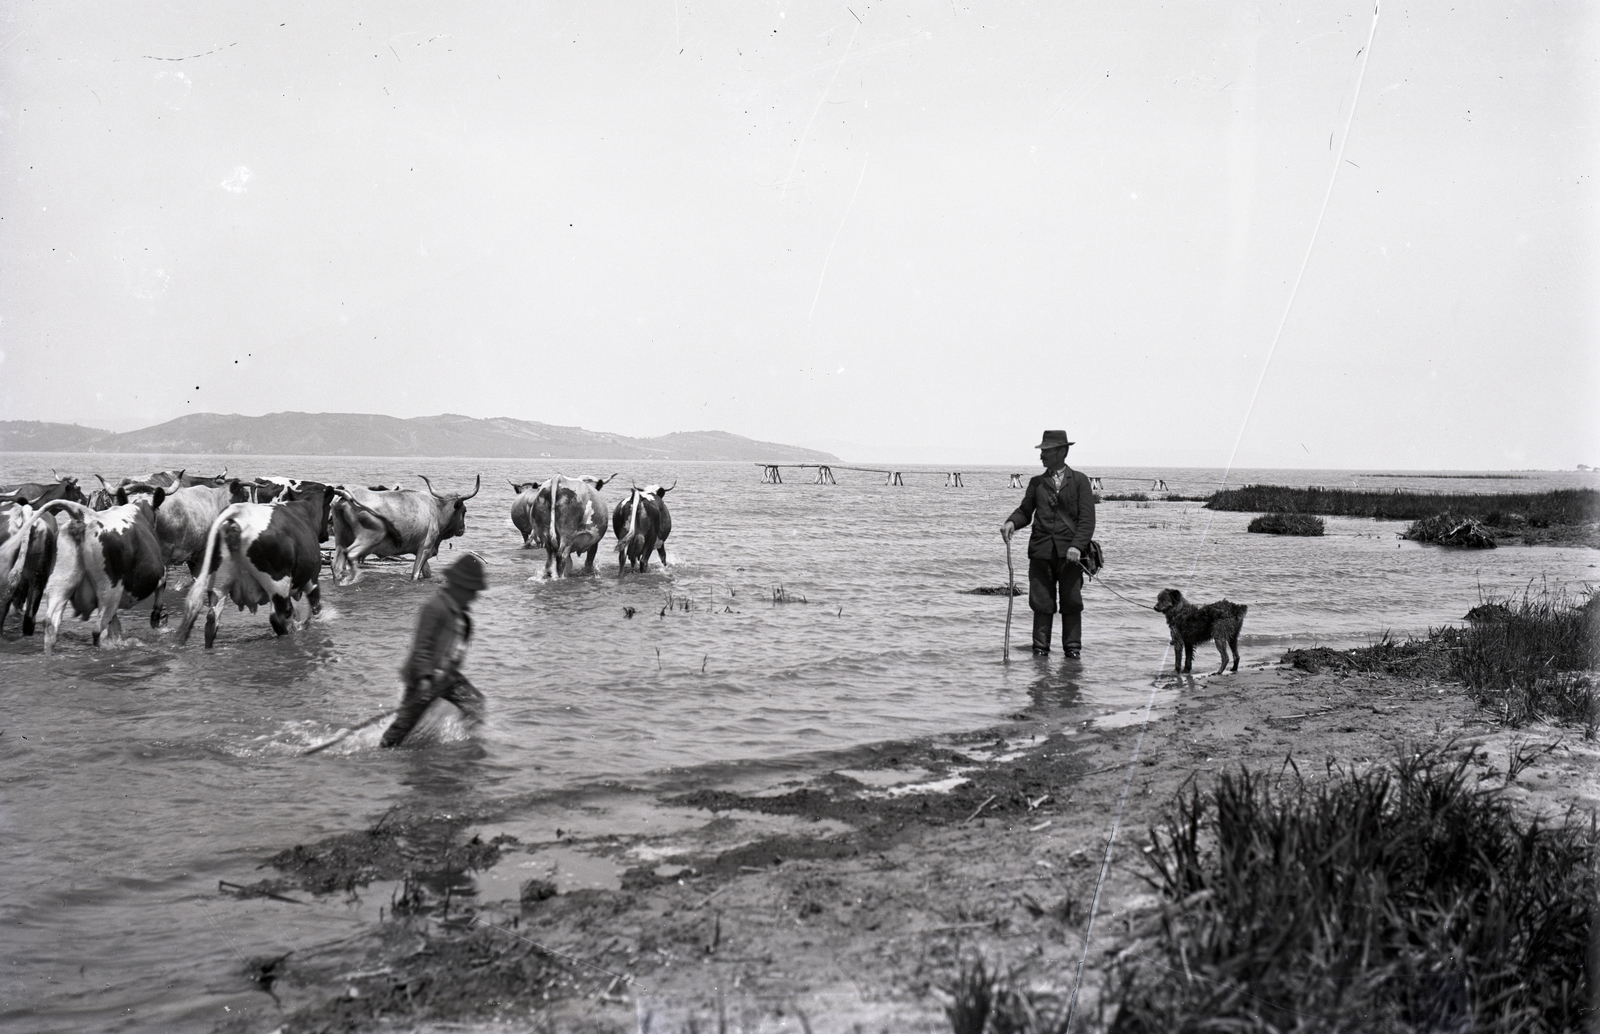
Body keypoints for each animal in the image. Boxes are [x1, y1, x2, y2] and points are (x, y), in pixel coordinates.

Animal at [323, 476, 473, 589]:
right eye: (464, 510)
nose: (462, 528)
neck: (436, 509)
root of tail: (344, 495)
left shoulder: (420, 549)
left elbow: (427, 573)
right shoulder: (425, 548)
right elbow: (415, 575)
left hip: (341, 539)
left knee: (336, 564)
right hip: (370, 537)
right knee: (351, 554)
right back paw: (354, 579)